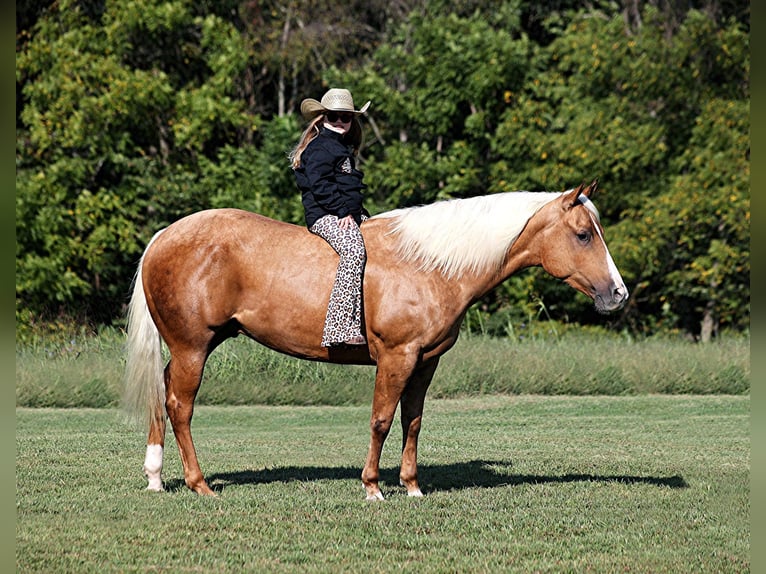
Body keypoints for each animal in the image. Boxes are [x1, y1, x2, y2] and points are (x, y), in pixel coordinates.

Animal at [122, 179, 628, 501]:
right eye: (584, 234)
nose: (618, 294)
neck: (428, 264)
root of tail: (165, 235)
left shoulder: (425, 362)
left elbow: (413, 422)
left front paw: (412, 486)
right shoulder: (396, 358)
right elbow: (381, 420)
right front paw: (372, 487)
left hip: (190, 348)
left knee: (162, 393)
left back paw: (155, 476)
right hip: (193, 348)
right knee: (180, 406)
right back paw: (199, 484)